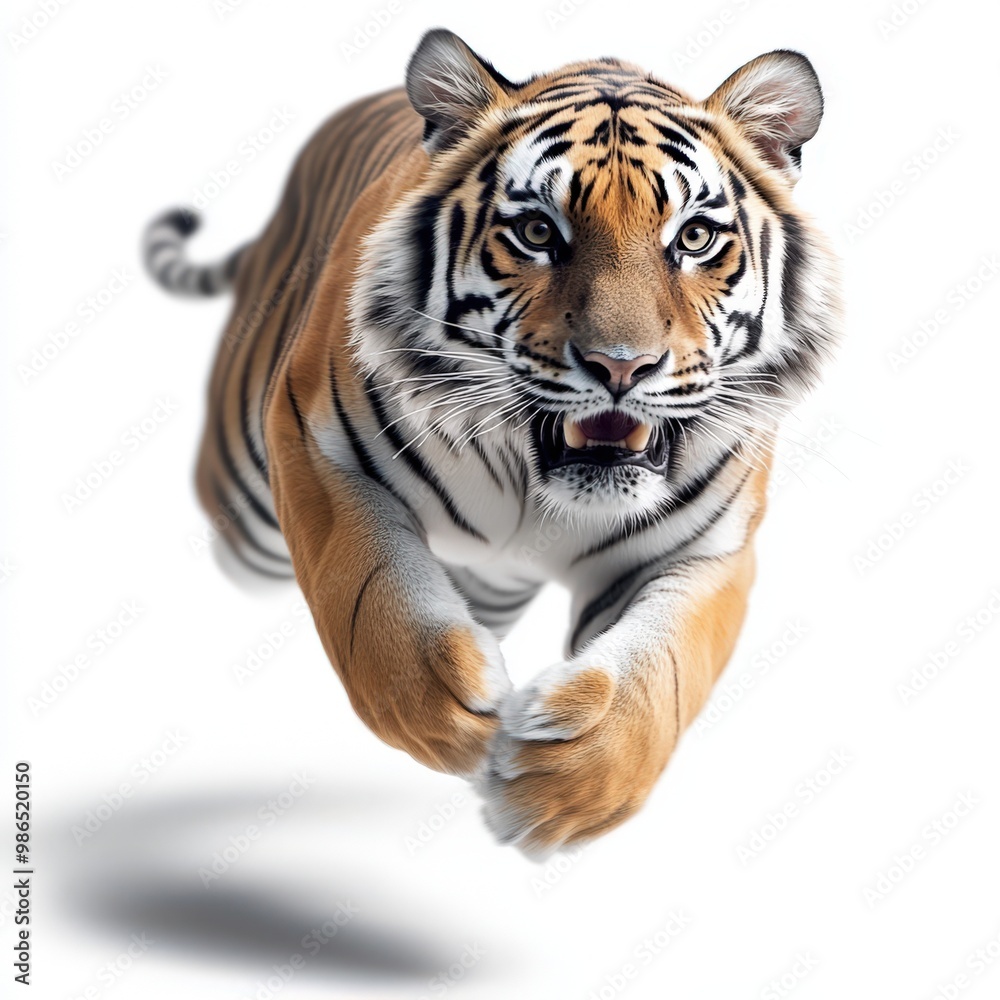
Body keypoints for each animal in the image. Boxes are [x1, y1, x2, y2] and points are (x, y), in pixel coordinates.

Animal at [143, 29, 841, 857]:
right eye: (538, 233)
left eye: (695, 238)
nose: (621, 366)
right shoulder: (316, 445)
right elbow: (368, 590)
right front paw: (454, 715)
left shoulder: (708, 551)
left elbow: (664, 669)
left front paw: (569, 781)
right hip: (247, 515)